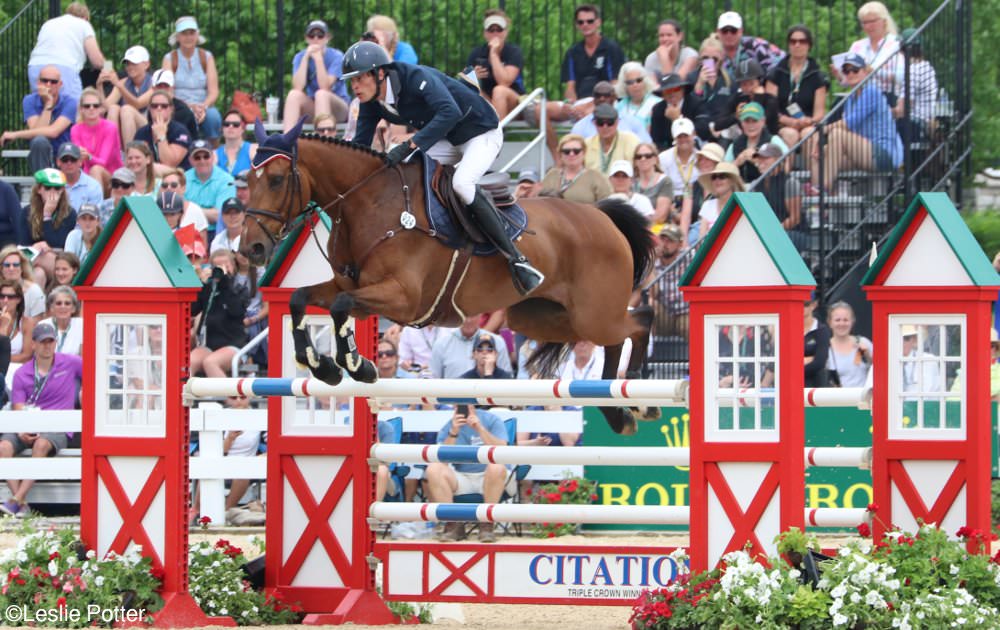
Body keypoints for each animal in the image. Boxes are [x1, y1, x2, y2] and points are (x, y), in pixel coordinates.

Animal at [244, 119, 656, 434]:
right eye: (247, 179)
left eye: (277, 179)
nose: (253, 249)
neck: (369, 203)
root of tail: (602, 216)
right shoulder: (352, 288)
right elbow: (301, 299)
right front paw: (324, 366)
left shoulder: (401, 298)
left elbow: (341, 307)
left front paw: (359, 366)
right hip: (543, 317)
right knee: (613, 339)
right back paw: (615, 412)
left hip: (593, 314)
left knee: (638, 323)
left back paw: (640, 397)